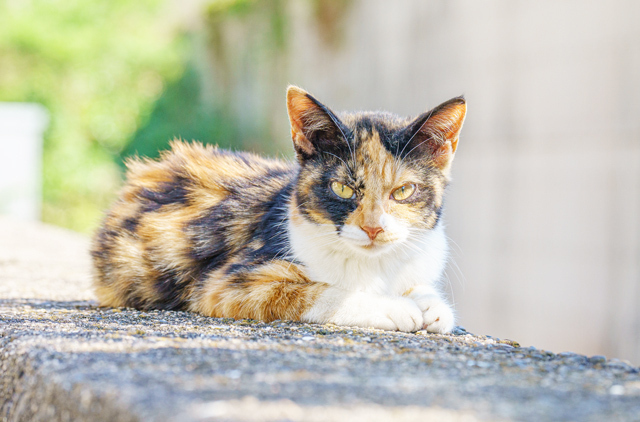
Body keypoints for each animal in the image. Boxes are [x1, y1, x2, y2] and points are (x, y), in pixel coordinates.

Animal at [91, 86, 464, 332]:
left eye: (403, 191)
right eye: (342, 188)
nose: (373, 228)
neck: (374, 267)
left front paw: (431, 304)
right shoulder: (227, 283)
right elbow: (313, 291)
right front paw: (393, 308)